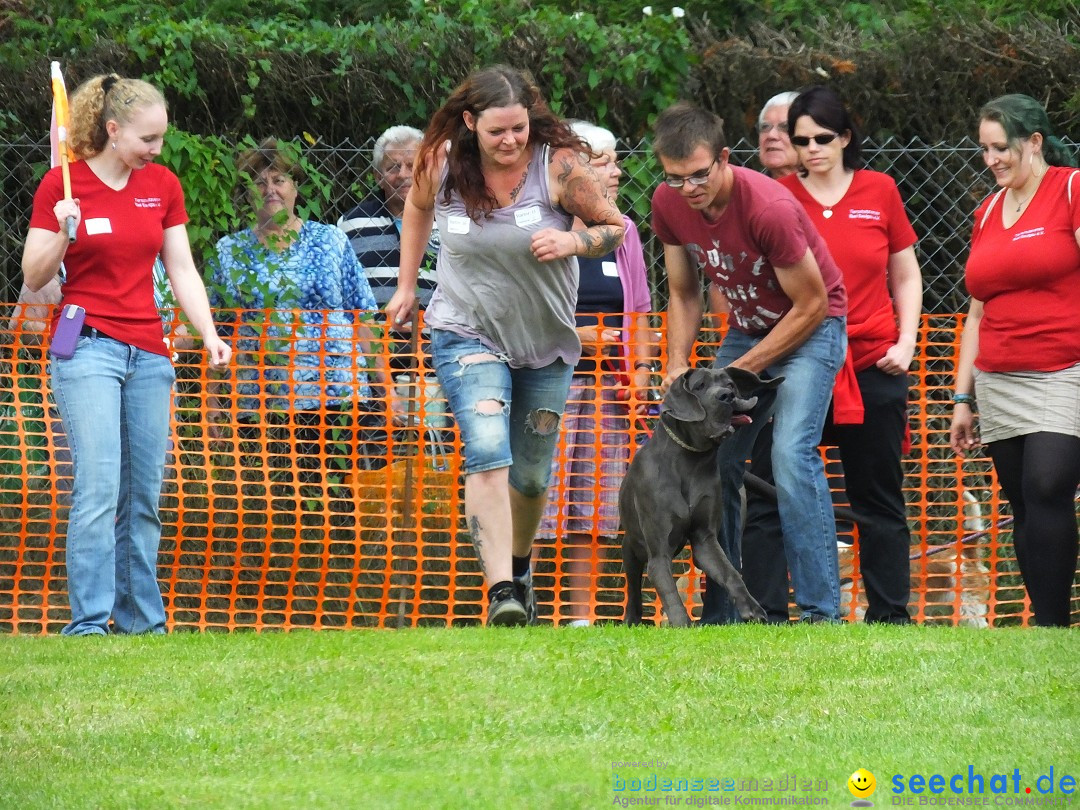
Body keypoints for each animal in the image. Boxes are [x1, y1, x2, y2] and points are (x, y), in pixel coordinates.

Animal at [617, 367, 786, 626]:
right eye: (699, 386)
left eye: (730, 384)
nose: (727, 396)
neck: (691, 459)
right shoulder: (658, 553)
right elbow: (669, 591)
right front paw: (681, 625)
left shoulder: (704, 539)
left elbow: (730, 572)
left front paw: (752, 608)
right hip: (631, 548)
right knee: (634, 587)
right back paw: (631, 619)